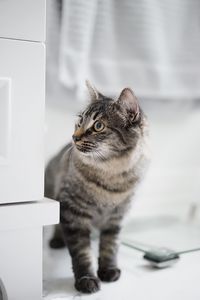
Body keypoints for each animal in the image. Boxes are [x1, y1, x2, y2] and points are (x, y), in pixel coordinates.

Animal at [45, 81, 148, 292]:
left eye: (98, 125)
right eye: (79, 121)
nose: (74, 137)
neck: (110, 176)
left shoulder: (116, 218)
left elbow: (110, 246)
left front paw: (109, 270)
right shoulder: (73, 214)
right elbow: (82, 254)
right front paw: (86, 279)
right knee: (58, 226)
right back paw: (57, 240)